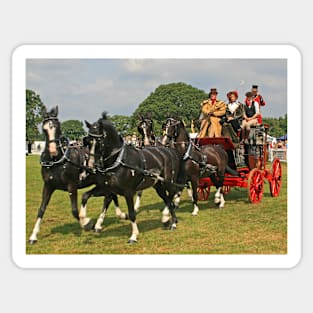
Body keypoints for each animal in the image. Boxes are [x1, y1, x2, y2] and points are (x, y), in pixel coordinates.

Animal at [28, 106, 125, 243]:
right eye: (44, 128)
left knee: (108, 197)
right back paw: (112, 218)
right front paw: (33, 235)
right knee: (110, 196)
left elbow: (74, 210)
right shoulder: (48, 186)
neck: (57, 161)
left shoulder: (71, 186)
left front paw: (87, 223)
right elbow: (41, 209)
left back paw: (101, 222)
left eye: (58, 126)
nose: (53, 150)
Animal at [83, 113, 185, 243]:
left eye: (99, 141)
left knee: (172, 195)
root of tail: (170, 150)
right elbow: (87, 196)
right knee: (167, 199)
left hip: (168, 182)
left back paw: (171, 220)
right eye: (88, 141)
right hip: (158, 186)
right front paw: (87, 222)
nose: (90, 165)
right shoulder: (107, 188)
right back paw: (169, 220)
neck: (118, 161)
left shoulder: (128, 192)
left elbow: (131, 213)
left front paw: (133, 235)